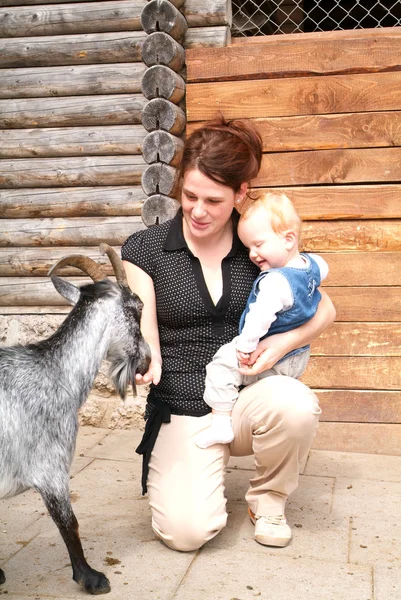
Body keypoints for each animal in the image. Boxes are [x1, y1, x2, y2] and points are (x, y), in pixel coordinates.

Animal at [0, 245, 150, 596]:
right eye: (138, 308)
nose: (147, 360)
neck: (53, 372)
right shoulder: (50, 466)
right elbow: (69, 523)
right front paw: (90, 577)